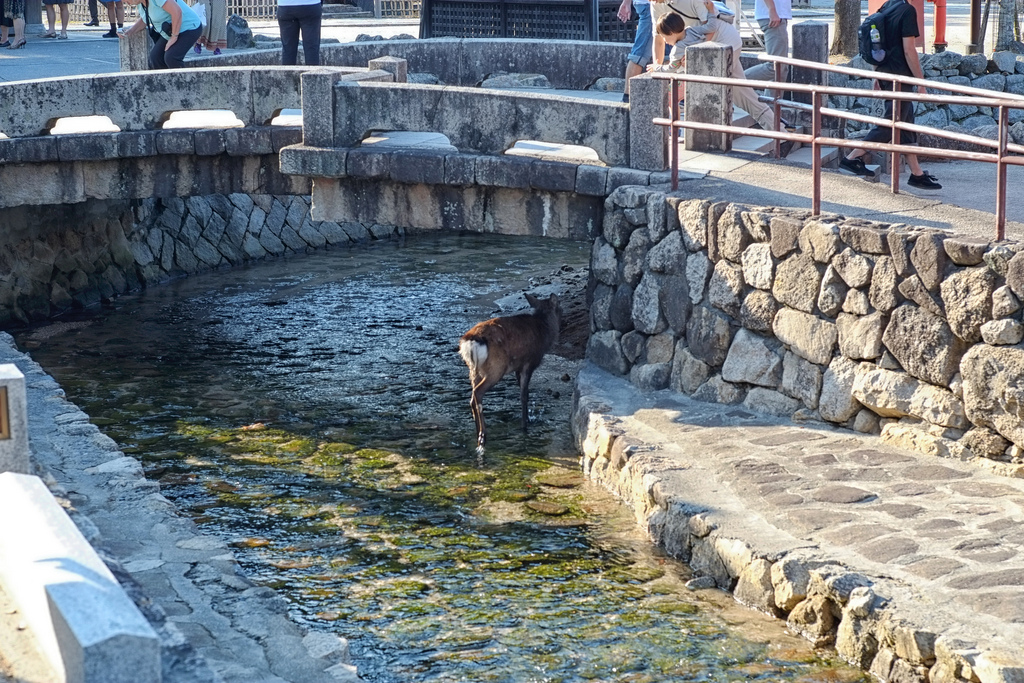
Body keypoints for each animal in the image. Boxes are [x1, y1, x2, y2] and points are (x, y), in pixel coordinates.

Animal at [460, 294, 565, 448]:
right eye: (560, 309)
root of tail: (471, 342)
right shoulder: (529, 363)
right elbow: (524, 395)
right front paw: (525, 424)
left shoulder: (518, 367)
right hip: (496, 368)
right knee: (478, 393)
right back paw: (483, 436)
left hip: (473, 369)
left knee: (472, 398)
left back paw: (477, 431)